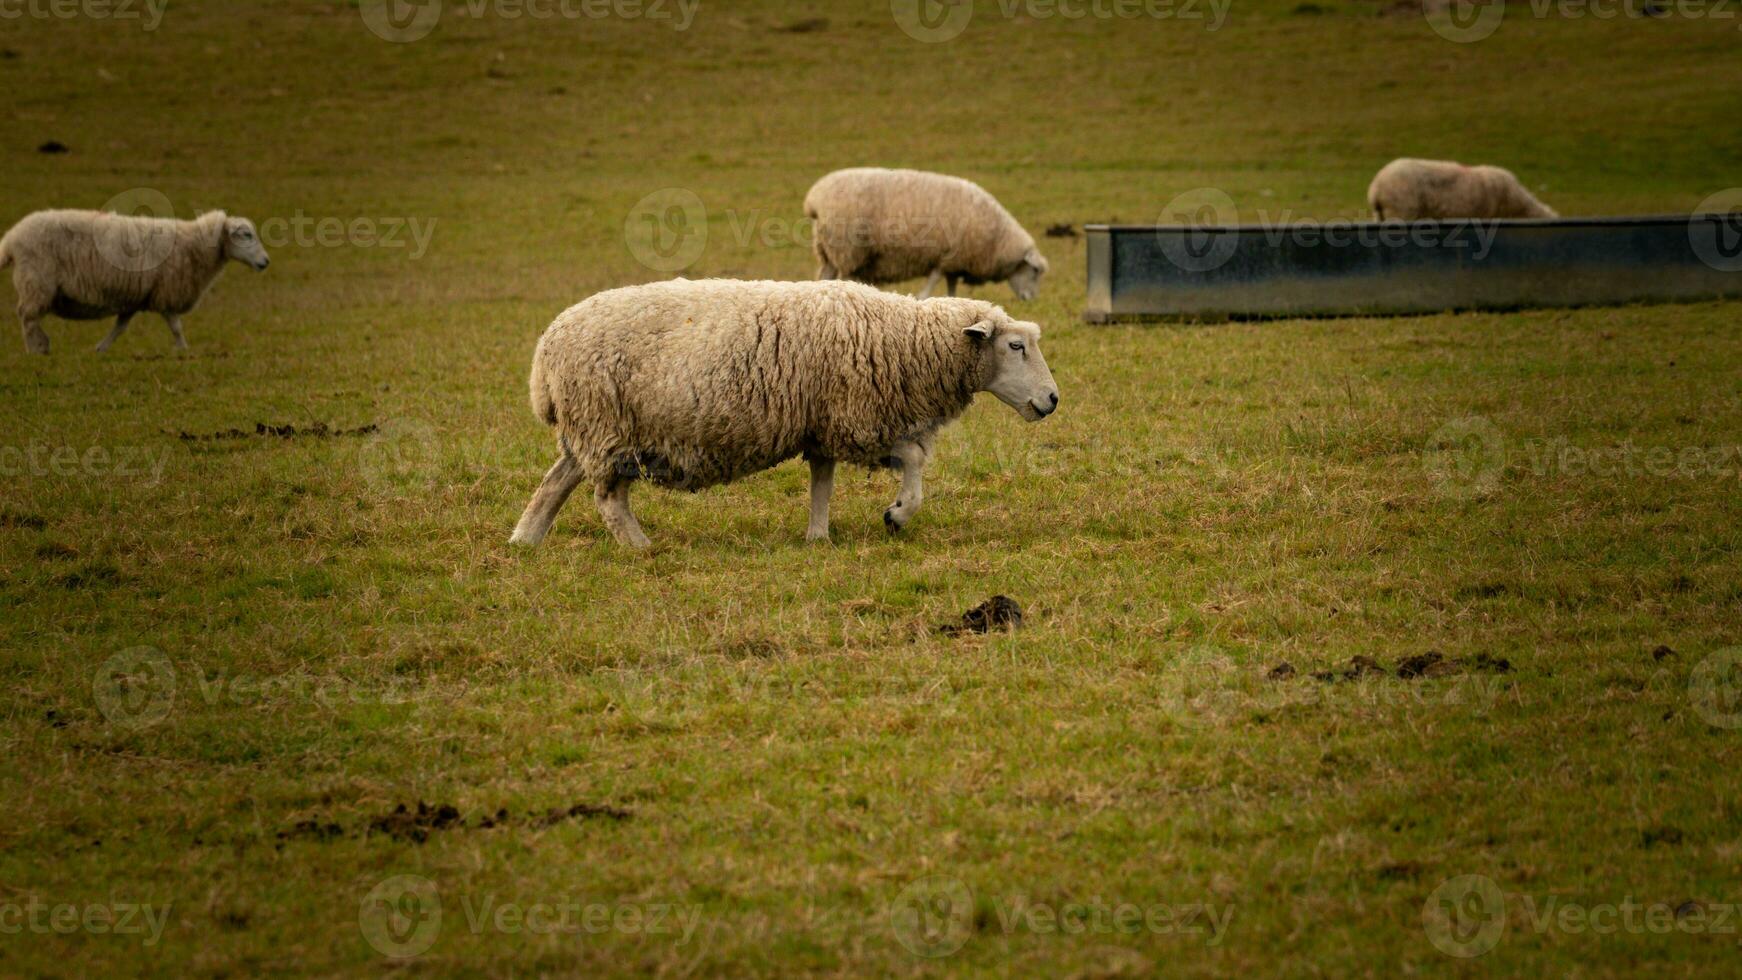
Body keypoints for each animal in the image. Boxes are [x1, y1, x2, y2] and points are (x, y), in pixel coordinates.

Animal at [0, 208, 268, 356]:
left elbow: (120, 327)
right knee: (27, 317)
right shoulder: (165, 292)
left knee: (29, 317)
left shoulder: (136, 296)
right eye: (246, 234)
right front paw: (184, 350)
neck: (193, 245)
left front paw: (101, 348)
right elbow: (176, 327)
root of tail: (11, 238)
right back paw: (36, 348)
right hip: (37, 281)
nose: (266, 262)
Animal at [508, 278, 1059, 553]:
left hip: (591, 431)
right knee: (608, 500)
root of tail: (545, 354)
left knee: (556, 483)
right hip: (609, 427)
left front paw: (818, 536)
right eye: (1015, 346)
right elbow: (915, 461)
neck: (904, 339)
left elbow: (822, 482)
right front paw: (898, 513)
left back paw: (524, 541)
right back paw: (640, 546)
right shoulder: (858, 420)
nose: (1053, 399)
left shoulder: (824, 424)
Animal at [801, 168, 1045, 301]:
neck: (998, 239)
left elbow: (951, 287)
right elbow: (933, 281)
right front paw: (923, 297)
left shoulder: (954, 262)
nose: (1031, 299)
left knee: (823, 278)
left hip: (827, 252)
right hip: (848, 250)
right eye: (1034, 271)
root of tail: (814, 200)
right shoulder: (945, 256)